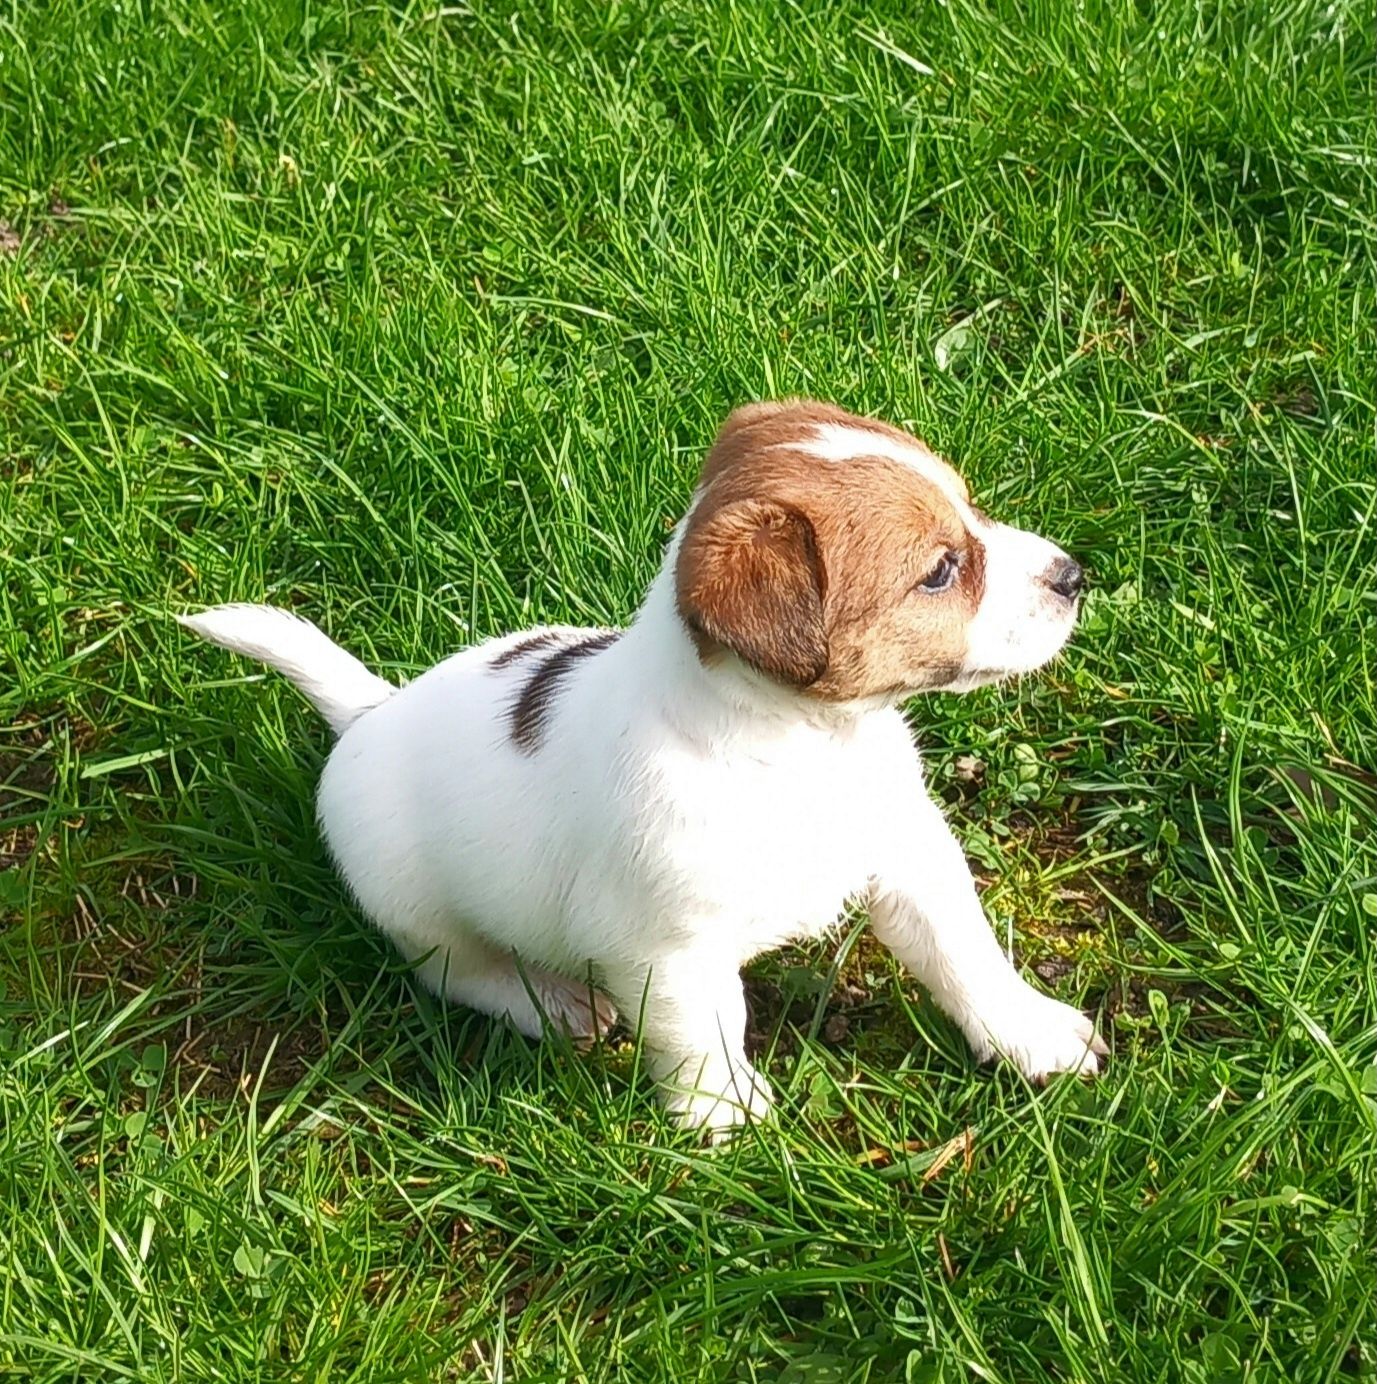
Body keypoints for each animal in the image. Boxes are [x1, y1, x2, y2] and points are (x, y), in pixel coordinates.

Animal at [182, 398, 1107, 1134]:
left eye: (969, 508)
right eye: (941, 571)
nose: (1074, 574)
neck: (800, 745)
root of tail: (369, 712)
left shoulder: (909, 860)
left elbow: (965, 954)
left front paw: (1030, 1035)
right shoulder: (666, 953)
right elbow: (703, 1037)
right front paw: (728, 1126)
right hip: (421, 911)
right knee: (462, 974)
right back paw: (558, 1005)